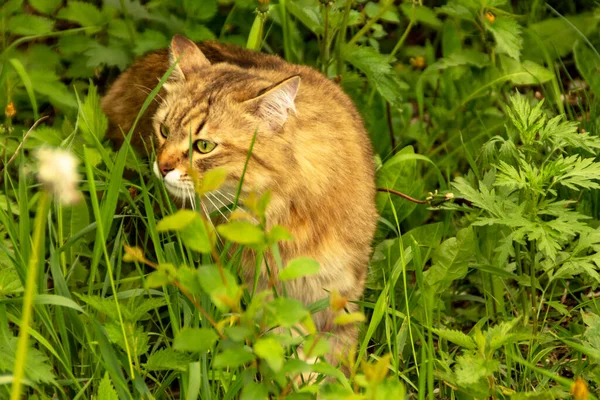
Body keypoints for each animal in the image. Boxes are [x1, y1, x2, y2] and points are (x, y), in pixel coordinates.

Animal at [102, 36, 376, 374]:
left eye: (204, 146)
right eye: (164, 131)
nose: (162, 167)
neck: (288, 216)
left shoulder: (340, 295)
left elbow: (334, 360)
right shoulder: (261, 297)